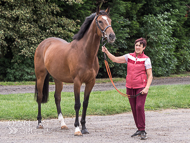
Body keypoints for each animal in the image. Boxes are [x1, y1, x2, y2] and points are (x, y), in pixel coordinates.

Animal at [33, 6, 115, 136]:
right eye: (100, 21)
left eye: (110, 20)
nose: (112, 36)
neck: (85, 53)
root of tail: (44, 43)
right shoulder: (77, 82)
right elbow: (77, 104)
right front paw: (77, 129)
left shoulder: (90, 82)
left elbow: (85, 103)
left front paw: (84, 128)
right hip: (41, 76)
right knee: (40, 97)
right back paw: (40, 123)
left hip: (58, 78)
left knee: (57, 97)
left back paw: (63, 124)